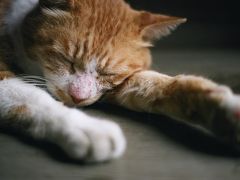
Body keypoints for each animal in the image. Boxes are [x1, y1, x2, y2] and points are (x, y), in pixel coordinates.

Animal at [0, 0, 239, 163]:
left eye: (108, 73)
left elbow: (162, 85)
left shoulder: (120, 84)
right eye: (67, 60)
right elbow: (32, 97)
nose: (78, 97)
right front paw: (85, 127)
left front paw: (225, 110)